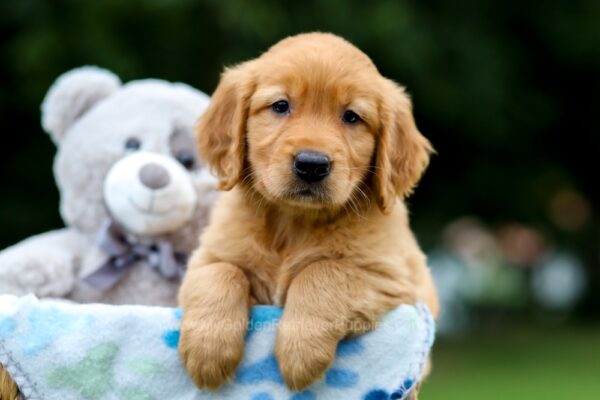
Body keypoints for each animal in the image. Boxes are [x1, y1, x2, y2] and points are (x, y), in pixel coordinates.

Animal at [179, 32, 440, 396]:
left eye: (352, 117)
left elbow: (324, 271)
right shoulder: (204, 259)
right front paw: (208, 351)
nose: (312, 165)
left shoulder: (395, 280)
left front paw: (300, 352)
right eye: (280, 106)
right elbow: (221, 272)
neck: (293, 222)